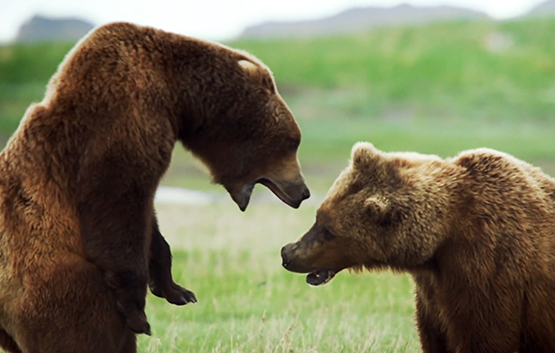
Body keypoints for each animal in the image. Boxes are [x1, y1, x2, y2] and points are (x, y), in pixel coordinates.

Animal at [0, 21, 310, 352]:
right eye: (292, 142)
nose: (303, 191)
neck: (176, 94)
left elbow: (150, 224)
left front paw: (177, 290)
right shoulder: (124, 122)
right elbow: (117, 208)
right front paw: (138, 311)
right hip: (51, 280)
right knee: (83, 327)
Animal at [284, 142, 555, 350]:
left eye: (328, 229)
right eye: (318, 217)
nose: (287, 253)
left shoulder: (488, 273)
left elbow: (484, 337)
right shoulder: (432, 293)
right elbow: (435, 338)